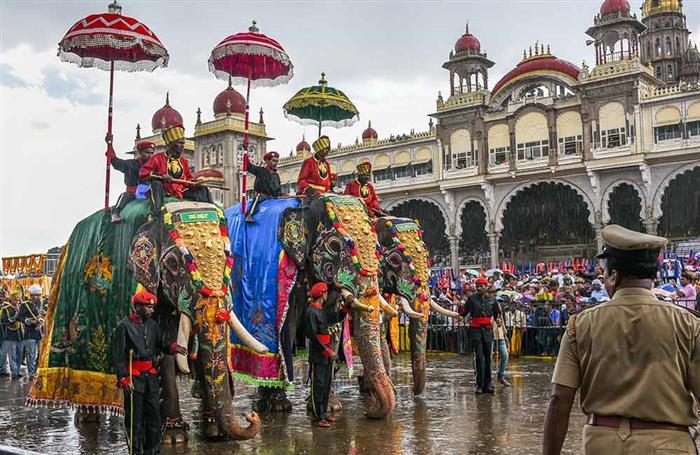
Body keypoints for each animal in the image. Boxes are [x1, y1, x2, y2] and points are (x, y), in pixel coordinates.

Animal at [227, 195, 396, 420]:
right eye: (336, 246)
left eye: (377, 248)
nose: (369, 411)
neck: (306, 204)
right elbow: (287, 329)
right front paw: (279, 406)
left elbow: (331, 327)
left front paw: (331, 407)